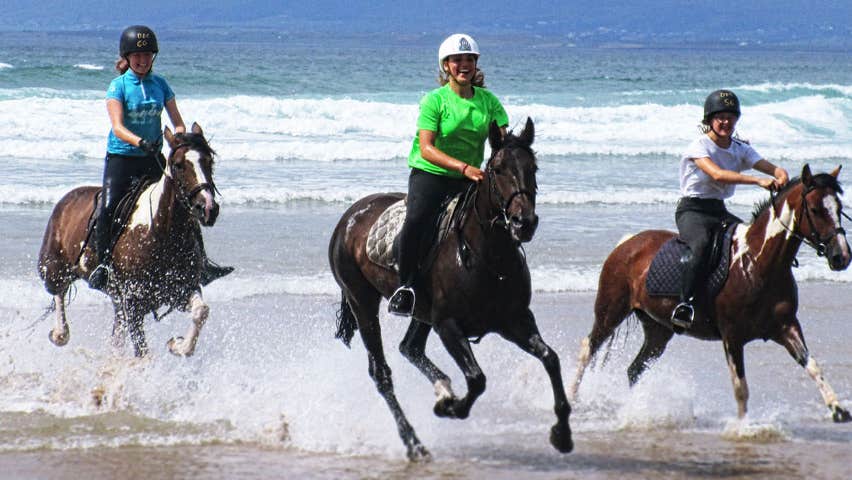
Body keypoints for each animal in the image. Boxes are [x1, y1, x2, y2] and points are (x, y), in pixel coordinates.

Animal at [39, 123, 220, 356]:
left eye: (209, 161)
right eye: (179, 165)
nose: (207, 208)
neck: (161, 232)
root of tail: (67, 199)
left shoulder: (181, 290)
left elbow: (201, 311)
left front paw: (178, 345)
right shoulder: (133, 303)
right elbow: (142, 352)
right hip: (53, 267)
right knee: (58, 292)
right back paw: (59, 333)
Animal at [326, 118, 572, 460]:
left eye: (532, 167)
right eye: (497, 168)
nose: (524, 223)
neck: (489, 256)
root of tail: (350, 216)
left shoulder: (516, 321)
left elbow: (551, 358)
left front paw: (562, 434)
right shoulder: (448, 325)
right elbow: (477, 379)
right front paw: (451, 409)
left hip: (421, 312)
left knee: (410, 348)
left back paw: (442, 389)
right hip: (362, 302)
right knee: (382, 373)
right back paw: (415, 443)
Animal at [572, 165, 852, 424]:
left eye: (839, 207)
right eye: (815, 209)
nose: (842, 257)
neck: (758, 263)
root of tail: (627, 244)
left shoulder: (786, 327)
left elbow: (812, 365)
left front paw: (838, 409)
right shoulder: (732, 336)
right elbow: (741, 388)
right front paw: (742, 428)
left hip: (658, 330)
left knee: (635, 369)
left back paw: (636, 409)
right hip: (610, 312)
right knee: (588, 349)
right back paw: (572, 401)